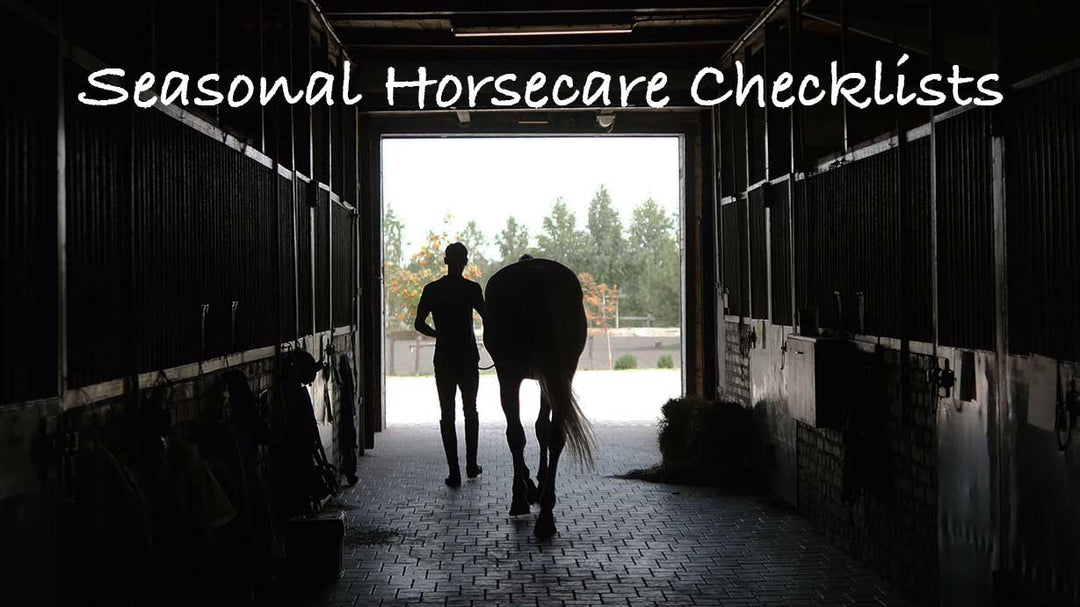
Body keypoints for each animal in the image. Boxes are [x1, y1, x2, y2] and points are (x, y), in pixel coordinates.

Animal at [483, 257, 594, 538]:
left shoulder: (509, 374)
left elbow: (517, 435)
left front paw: (522, 495)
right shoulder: (548, 377)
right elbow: (542, 428)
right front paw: (537, 486)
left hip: (517, 373)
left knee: (520, 434)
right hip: (560, 373)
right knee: (556, 435)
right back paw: (546, 513)